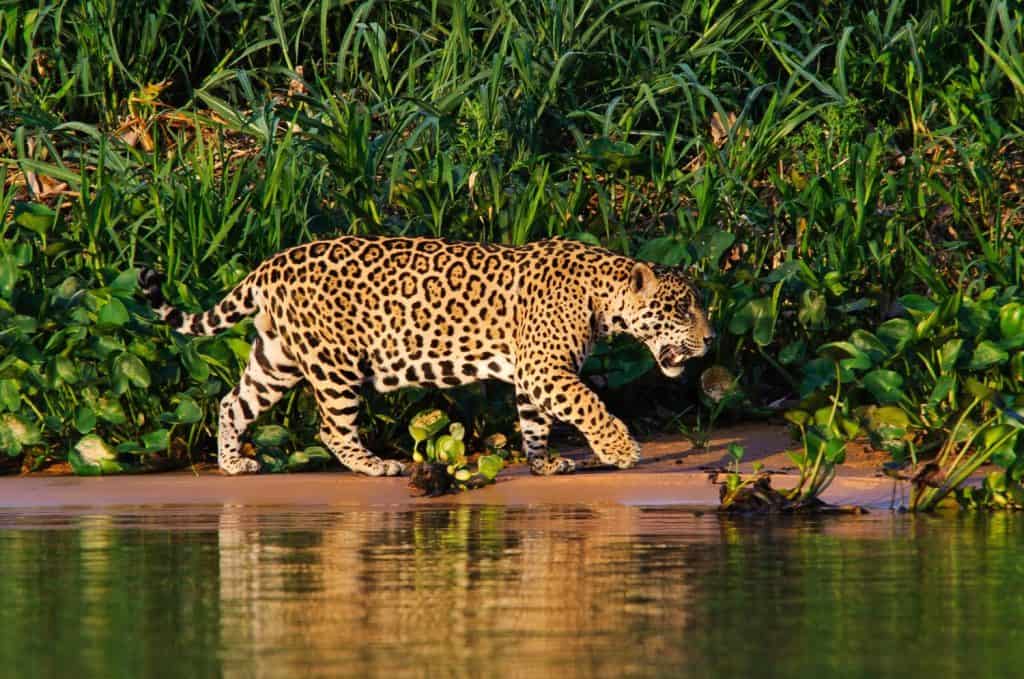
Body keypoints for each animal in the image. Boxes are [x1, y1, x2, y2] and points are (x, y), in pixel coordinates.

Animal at [138, 236, 713, 477]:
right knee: (331, 428)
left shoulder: (533, 372)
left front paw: (543, 463)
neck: (602, 295)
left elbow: (534, 421)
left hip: (277, 357)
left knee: (232, 403)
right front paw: (621, 450)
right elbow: (589, 405)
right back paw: (375, 466)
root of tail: (269, 265)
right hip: (334, 363)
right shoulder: (547, 369)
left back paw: (233, 463)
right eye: (682, 309)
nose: (710, 341)